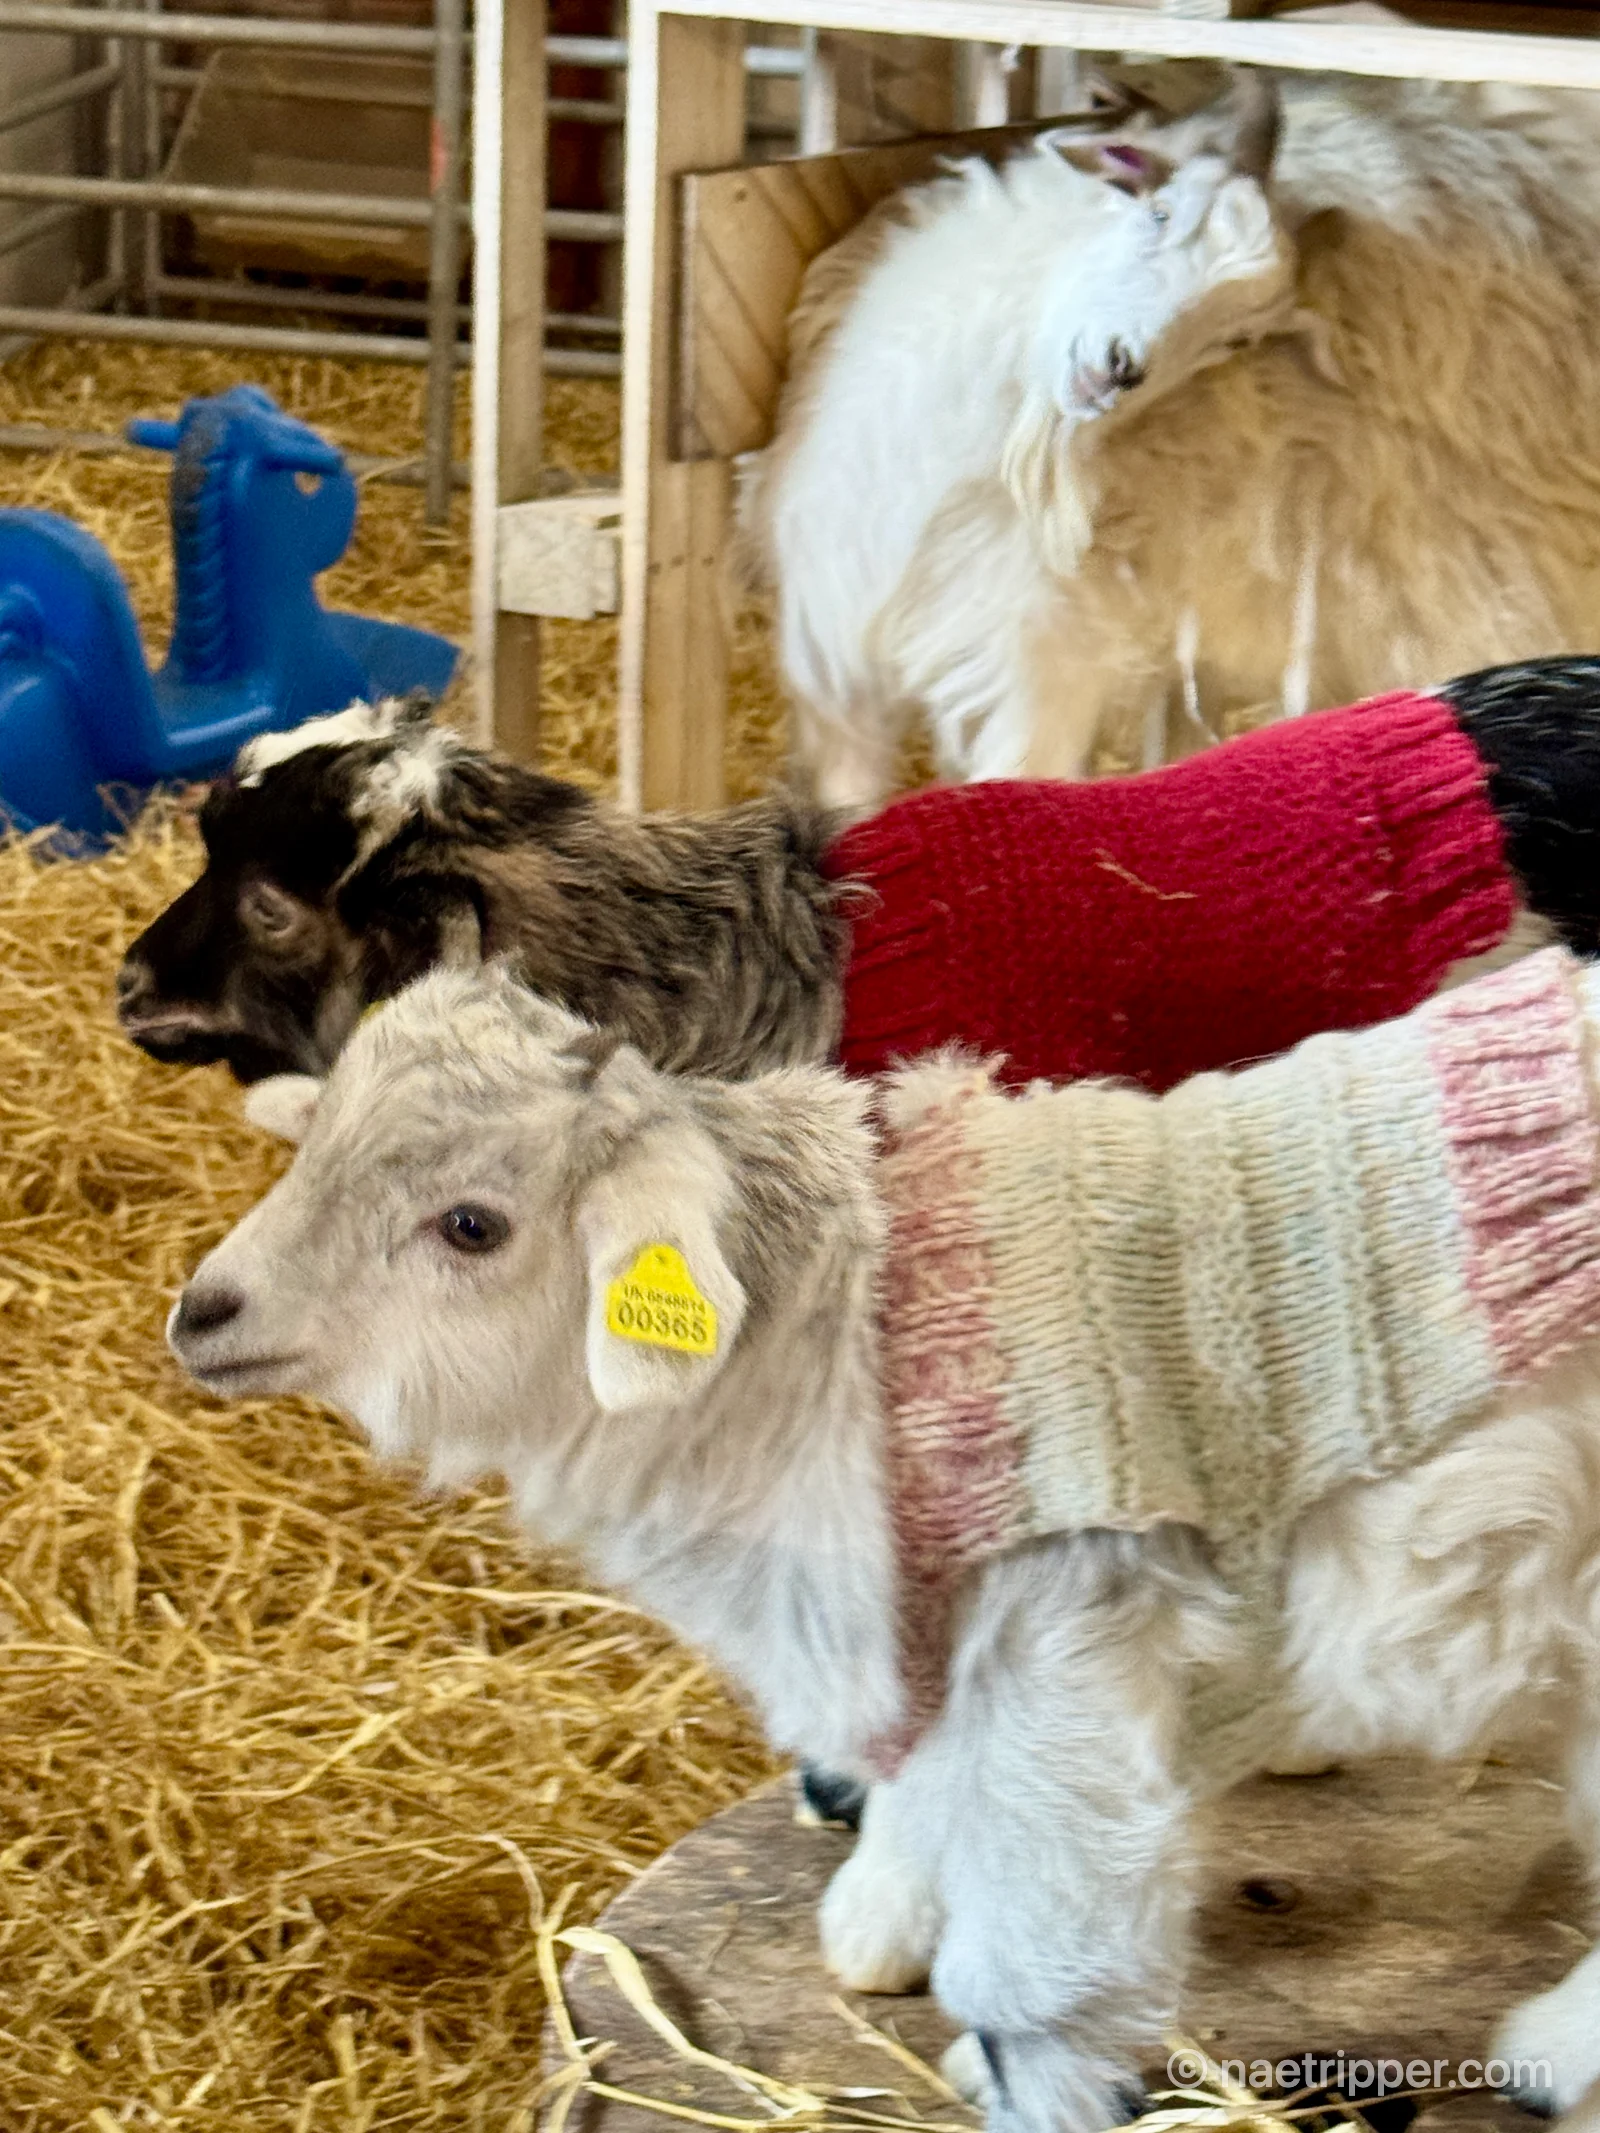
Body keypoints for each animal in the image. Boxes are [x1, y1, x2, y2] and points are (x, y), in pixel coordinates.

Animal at [171, 949, 1600, 2133]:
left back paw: (1552, 2059)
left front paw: (1025, 2077)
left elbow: (1036, 1949)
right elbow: (926, 1789)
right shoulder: (922, 1616)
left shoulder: (1062, 1642)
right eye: (313, 1152)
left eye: (471, 1225)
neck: (835, 1336)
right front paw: (887, 1917)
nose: (202, 1314)